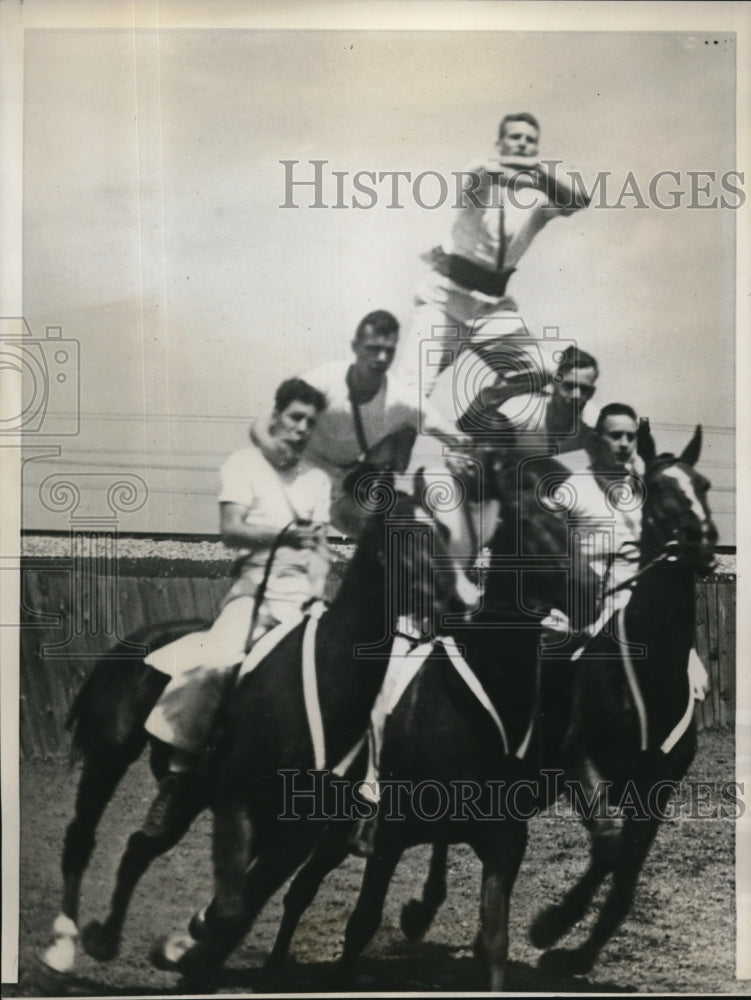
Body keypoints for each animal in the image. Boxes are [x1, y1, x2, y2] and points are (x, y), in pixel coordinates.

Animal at [42, 480, 464, 980]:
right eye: (404, 535)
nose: (459, 602)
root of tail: (137, 640)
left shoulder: (303, 826)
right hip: (112, 753)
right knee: (82, 838)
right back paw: (64, 945)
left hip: (191, 791)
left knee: (143, 844)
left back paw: (109, 939)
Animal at [258, 426, 716, 988]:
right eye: (660, 492)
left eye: (703, 486)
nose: (704, 543)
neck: (648, 679)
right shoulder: (578, 760)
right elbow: (608, 845)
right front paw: (551, 927)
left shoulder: (655, 789)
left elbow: (621, 880)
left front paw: (570, 951)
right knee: (310, 879)